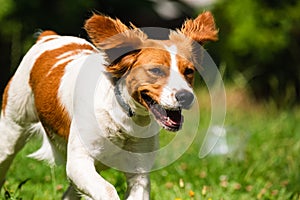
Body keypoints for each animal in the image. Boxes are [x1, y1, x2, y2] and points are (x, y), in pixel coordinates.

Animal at [0, 11, 216, 200]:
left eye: (189, 71)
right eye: (155, 70)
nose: (186, 97)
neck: (124, 116)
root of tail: (49, 37)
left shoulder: (139, 172)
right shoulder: (78, 163)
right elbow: (108, 189)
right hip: (12, 131)